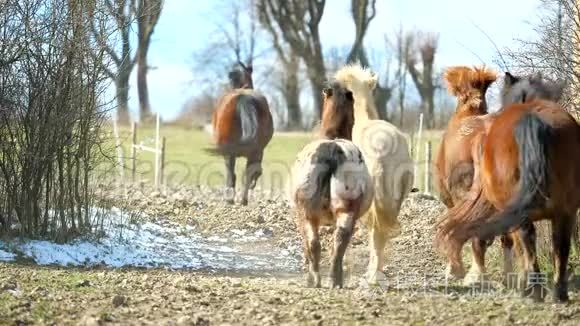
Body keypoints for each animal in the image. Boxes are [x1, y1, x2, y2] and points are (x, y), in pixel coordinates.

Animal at [206, 63, 274, 205]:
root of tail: (244, 97)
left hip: (229, 153)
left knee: (231, 175)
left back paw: (231, 200)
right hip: (256, 152)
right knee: (249, 172)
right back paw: (244, 199)